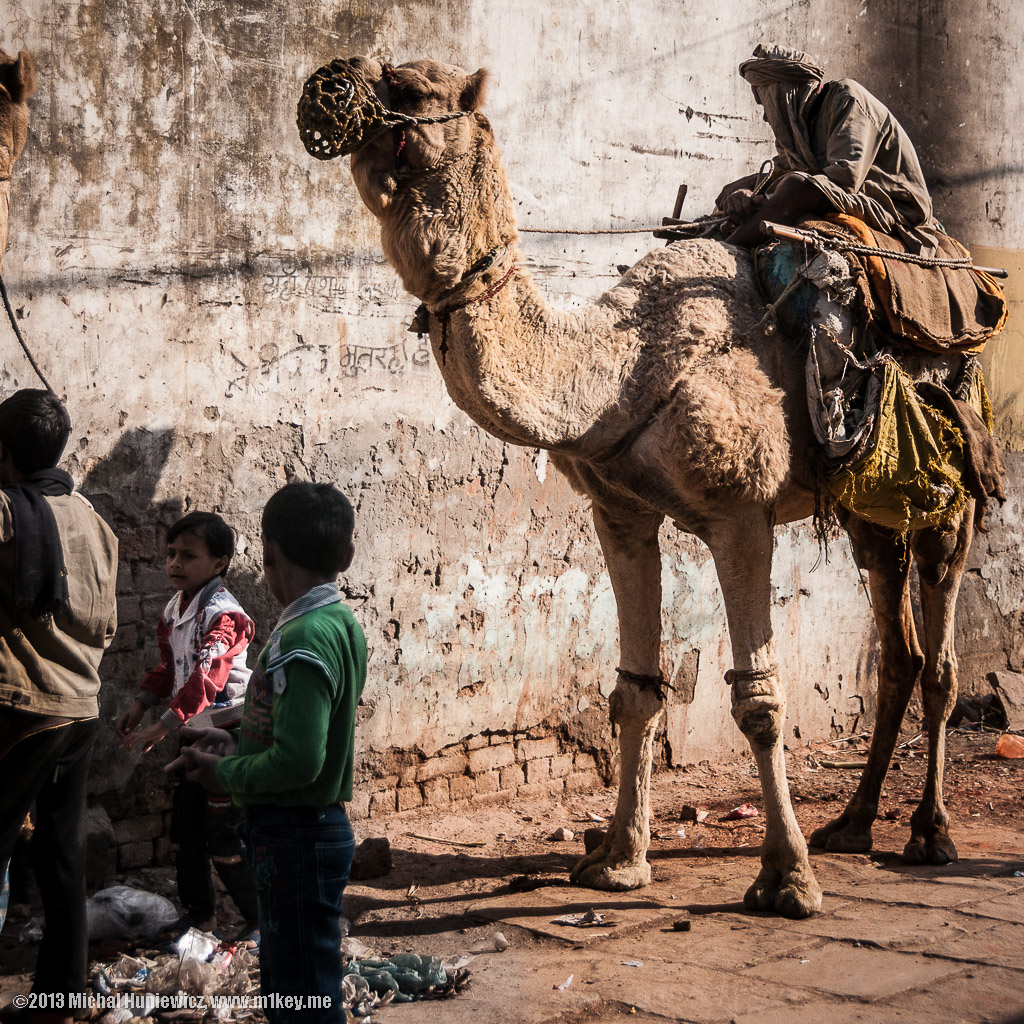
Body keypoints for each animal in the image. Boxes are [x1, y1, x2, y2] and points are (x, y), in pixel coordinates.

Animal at [299, 57, 983, 918]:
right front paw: (619, 860)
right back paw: (854, 822)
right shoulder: (619, 512)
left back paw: (929, 833)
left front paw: (786, 879)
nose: (329, 82)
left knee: (940, 654)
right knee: (896, 645)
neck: (617, 370)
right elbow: (633, 690)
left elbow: (759, 700)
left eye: (412, 89)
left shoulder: (740, 515)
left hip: (952, 488)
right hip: (872, 508)